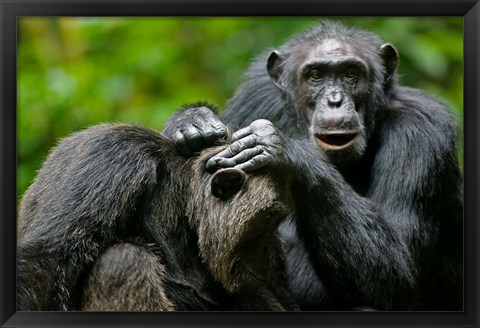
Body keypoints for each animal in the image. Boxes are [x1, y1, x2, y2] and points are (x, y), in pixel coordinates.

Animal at [16, 111, 298, 312]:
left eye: (275, 221)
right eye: (267, 218)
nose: (264, 253)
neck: (181, 194)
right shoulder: (111, 163)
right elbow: (44, 262)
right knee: (125, 260)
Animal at [162, 21, 464, 310]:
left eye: (351, 74)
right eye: (315, 75)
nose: (334, 101)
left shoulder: (420, 130)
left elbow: (396, 270)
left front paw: (281, 147)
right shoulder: (254, 96)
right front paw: (191, 121)